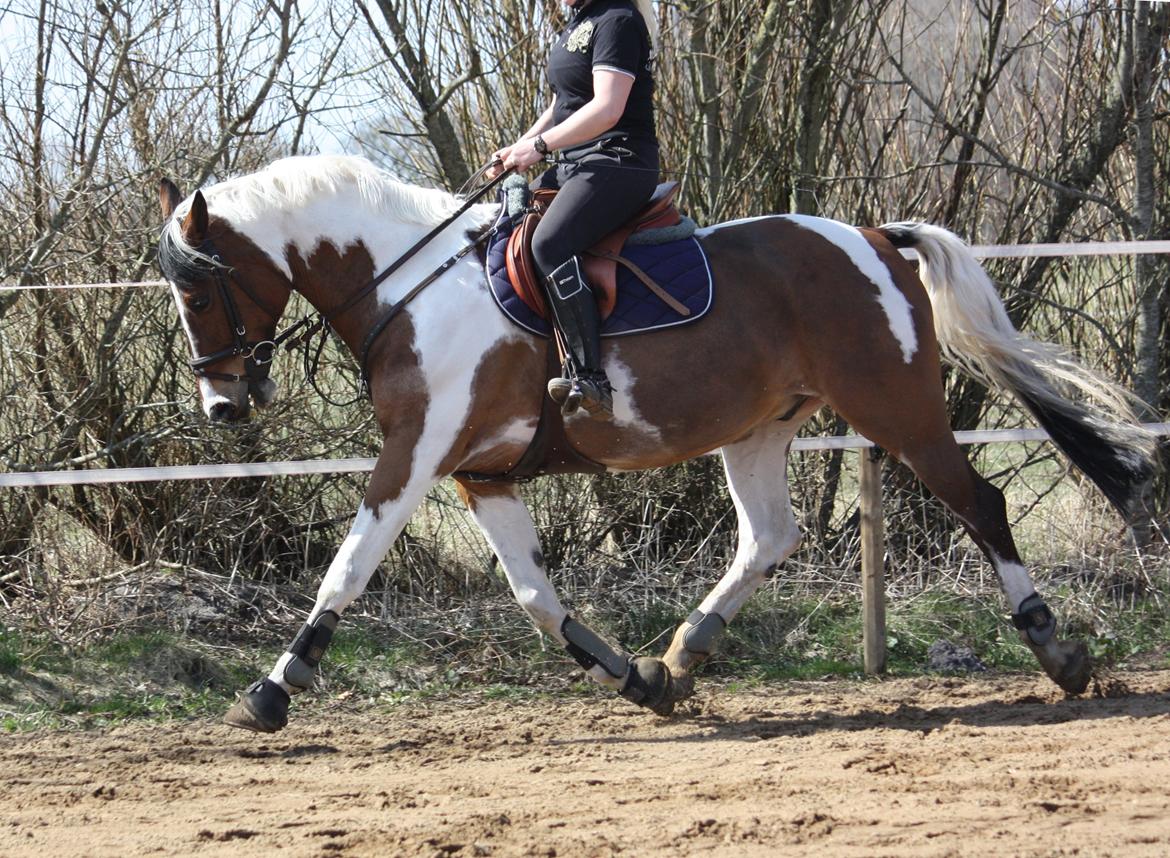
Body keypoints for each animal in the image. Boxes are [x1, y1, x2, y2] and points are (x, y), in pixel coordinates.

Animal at [155, 154, 1151, 730]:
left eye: (198, 290)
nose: (222, 407)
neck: (408, 284)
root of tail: (874, 236)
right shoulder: (482, 474)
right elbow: (535, 598)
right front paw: (640, 682)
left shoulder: (418, 455)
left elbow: (348, 568)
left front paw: (272, 690)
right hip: (758, 429)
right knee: (769, 536)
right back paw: (685, 650)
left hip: (896, 409)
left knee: (980, 503)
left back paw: (1059, 653)